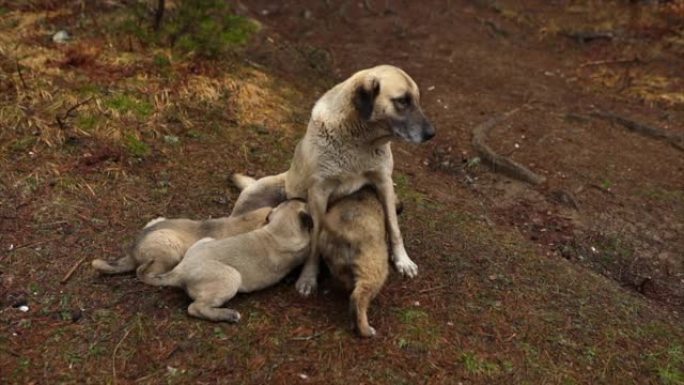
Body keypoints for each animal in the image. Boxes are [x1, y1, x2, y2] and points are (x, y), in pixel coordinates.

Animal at [137, 200, 312, 322]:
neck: (276, 231)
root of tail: (179, 271)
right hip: (232, 277)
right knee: (195, 308)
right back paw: (228, 315)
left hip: (206, 241)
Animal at [230, 64, 432, 296]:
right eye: (402, 101)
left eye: (417, 100)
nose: (431, 133)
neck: (359, 142)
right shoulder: (319, 193)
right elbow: (315, 241)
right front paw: (308, 277)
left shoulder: (384, 182)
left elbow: (394, 226)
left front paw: (402, 260)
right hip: (252, 199)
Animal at [318, 185, 388, 336]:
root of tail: (341, 235)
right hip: (372, 264)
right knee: (359, 296)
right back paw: (365, 329)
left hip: (337, 264)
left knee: (349, 284)